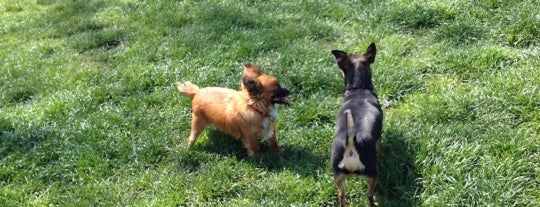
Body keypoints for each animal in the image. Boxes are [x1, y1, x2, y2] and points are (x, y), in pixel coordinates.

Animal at [330, 42, 384, 206]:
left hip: (338, 176)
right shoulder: (379, 137)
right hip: (372, 175)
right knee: (369, 195)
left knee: (341, 195)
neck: (359, 89)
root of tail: (351, 142)